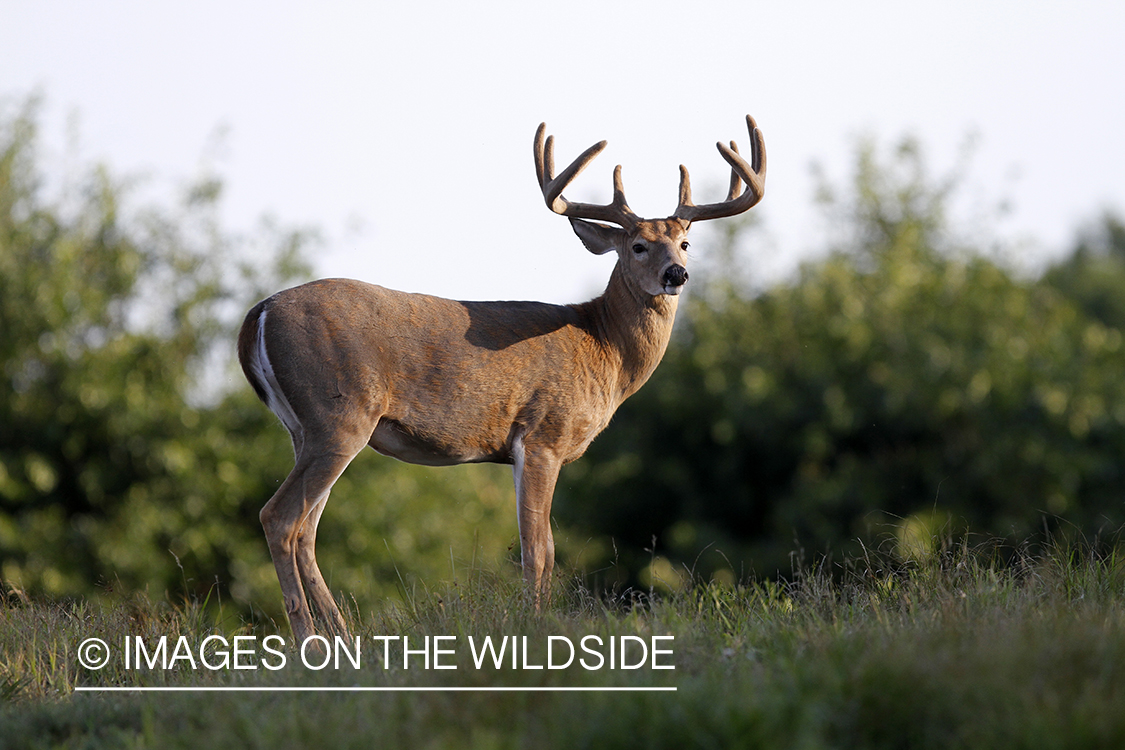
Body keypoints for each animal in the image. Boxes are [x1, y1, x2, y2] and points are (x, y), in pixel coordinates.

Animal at [236, 114, 765, 643]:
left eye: (685, 243)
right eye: (638, 246)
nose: (676, 273)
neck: (604, 347)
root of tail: (258, 314)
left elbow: (542, 547)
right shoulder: (543, 434)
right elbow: (539, 549)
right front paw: (536, 625)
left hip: (304, 429)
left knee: (306, 529)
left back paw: (342, 635)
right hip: (340, 414)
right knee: (279, 517)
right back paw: (309, 642)